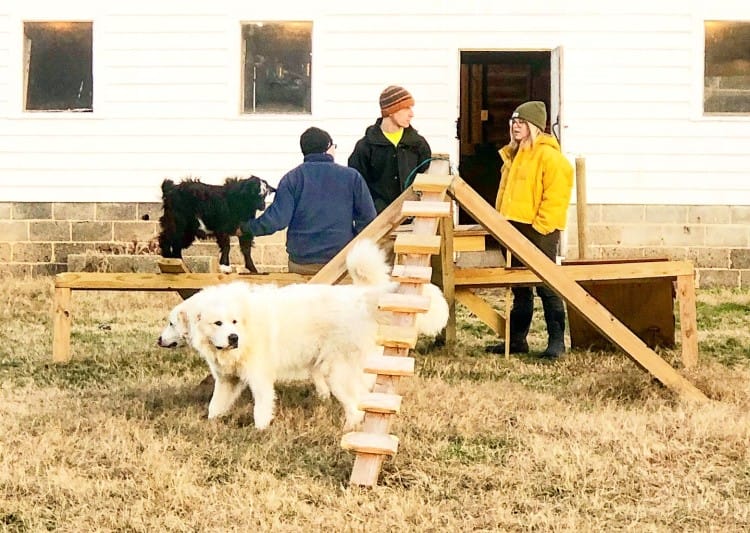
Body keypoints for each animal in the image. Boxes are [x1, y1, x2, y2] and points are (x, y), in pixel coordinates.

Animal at [157, 239, 446, 430]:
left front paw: (260, 431)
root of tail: (364, 296)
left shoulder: (259, 378)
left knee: (356, 407)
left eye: (231, 322)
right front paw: (209, 423)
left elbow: (261, 407)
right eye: (219, 323)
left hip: (337, 372)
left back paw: (348, 430)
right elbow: (214, 407)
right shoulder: (228, 381)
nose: (233, 338)